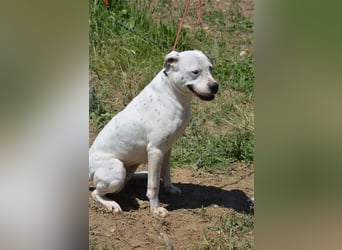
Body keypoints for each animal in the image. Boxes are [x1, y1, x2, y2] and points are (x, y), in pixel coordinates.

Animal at [90, 50, 219, 217]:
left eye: (211, 69)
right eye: (195, 72)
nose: (215, 86)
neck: (172, 93)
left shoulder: (168, 148)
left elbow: (167, 172)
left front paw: (170, 188)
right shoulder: (156, 150)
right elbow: (154, 186)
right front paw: (156, 209)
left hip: (126, 171)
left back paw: (143, 174)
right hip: (116, 171)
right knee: (96, 193)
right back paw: (110, 203)